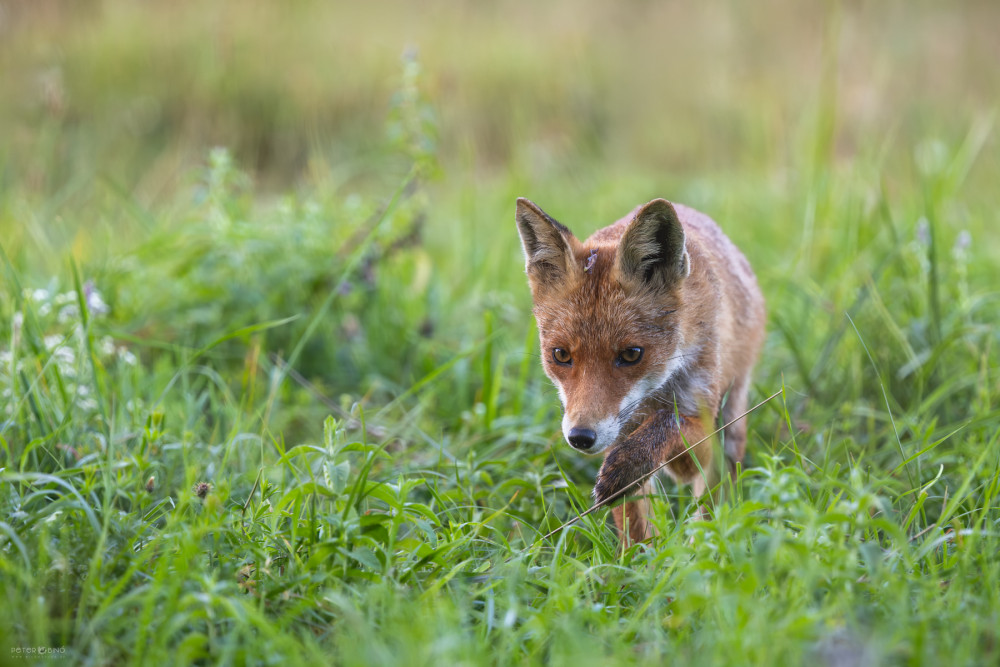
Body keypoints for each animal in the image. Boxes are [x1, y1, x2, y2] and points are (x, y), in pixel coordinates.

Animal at [516, 196, 764, 544]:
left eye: (631, 354)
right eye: (561, 355)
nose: (581, 437)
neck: (655, 393)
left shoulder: (697, 420)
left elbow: (669, 423)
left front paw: (628, 466)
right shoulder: (619, 431)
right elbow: (634, 523)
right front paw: (638, 557)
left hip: (731, 420)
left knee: (715, 497)